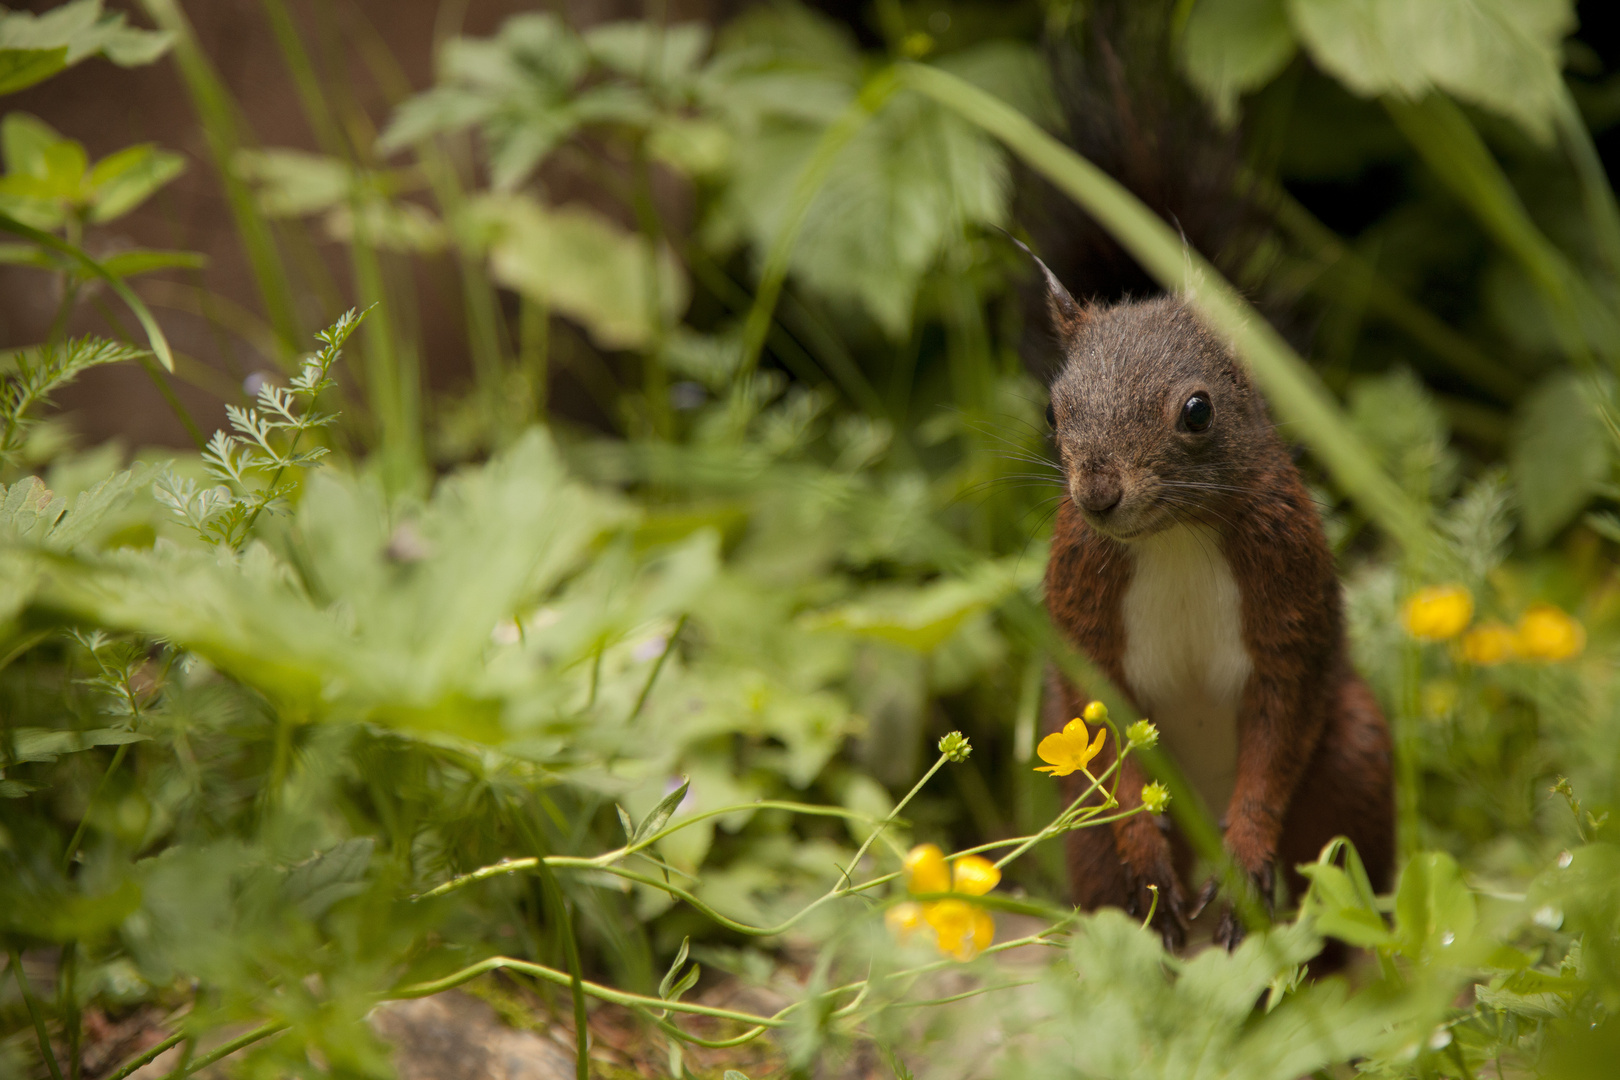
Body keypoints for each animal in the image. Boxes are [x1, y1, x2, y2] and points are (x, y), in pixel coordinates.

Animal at [1036, 257, 1393, 952]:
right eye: (1051, 412)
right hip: (1083, 838)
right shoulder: (1081, 606)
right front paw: (1143, 851)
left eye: (1197, 412)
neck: (1173, 537)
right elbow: (1103, 728)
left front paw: (1245, 859)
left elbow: (1278, 739)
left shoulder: (1290, 605)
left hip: (1353, 766)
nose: (1097, 494)